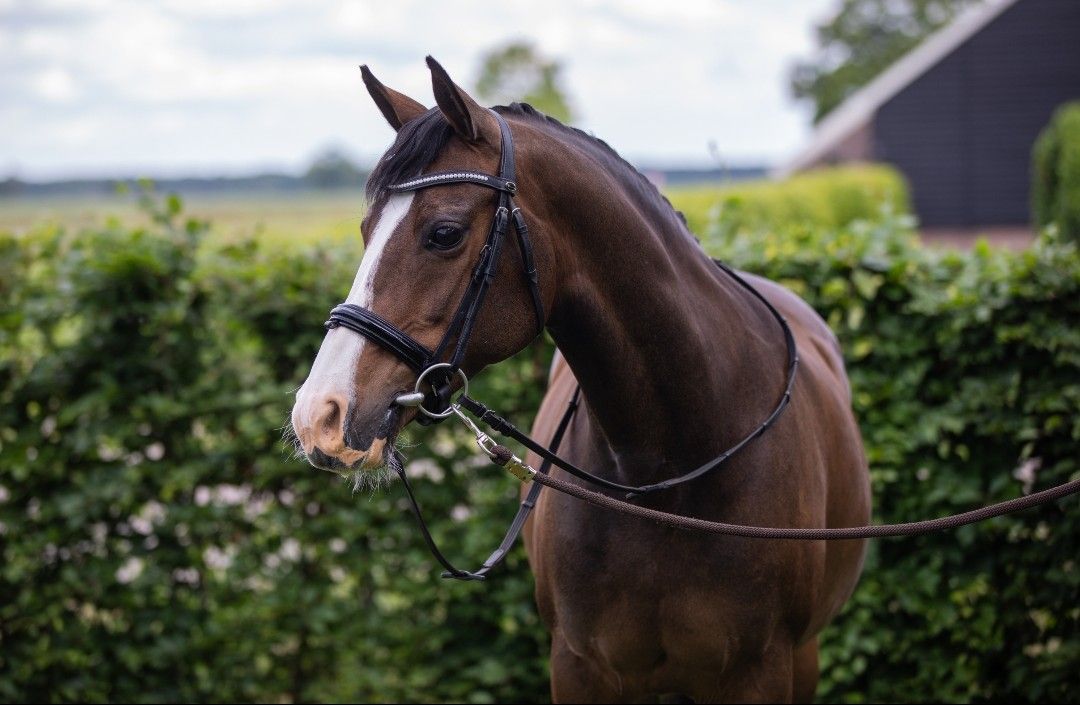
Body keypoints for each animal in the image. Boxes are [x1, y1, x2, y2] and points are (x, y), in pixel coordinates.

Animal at [290, 57, 872, 703]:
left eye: (443, 233)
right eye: (365, 229)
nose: (320, 415)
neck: (667, 476)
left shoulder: (761, 671)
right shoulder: (580, 665)